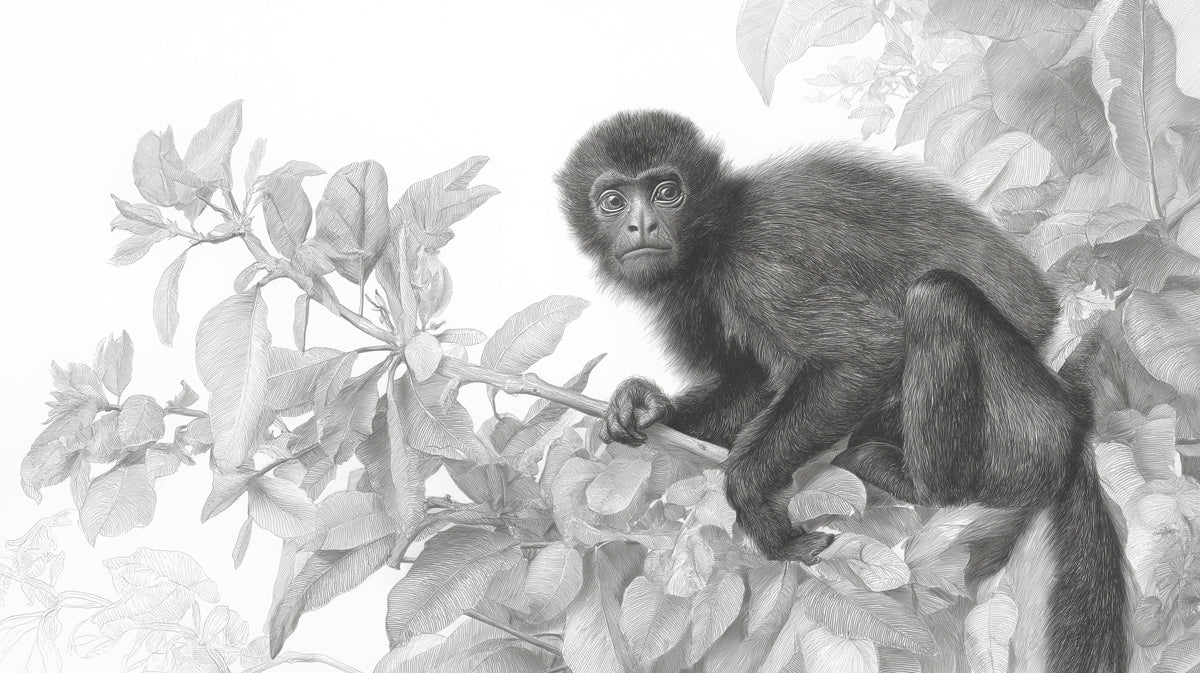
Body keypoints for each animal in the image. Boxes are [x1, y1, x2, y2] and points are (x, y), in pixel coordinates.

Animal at [555, 110, 1127, 673]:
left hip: (1026, 428)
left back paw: (919, 484)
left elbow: (863, 354)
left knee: (937, 297)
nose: (642, 224)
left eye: (666, 192)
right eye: (613, 201)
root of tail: (1072, 416)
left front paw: (750, 493)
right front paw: (648, 406)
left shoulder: (758, 263)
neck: (714, 235)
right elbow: (752, 386)